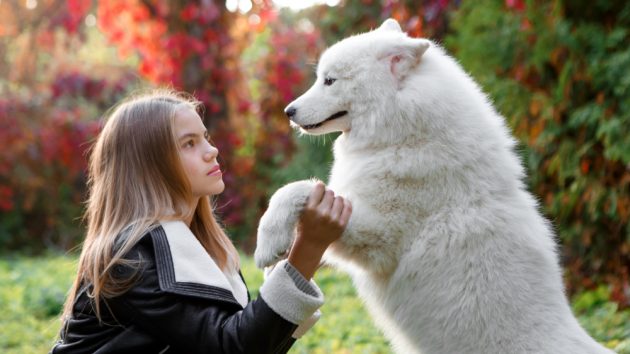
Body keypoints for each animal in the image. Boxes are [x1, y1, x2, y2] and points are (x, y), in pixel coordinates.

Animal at [253, 19, 612, 354]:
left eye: (330, 80)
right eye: (321, 78)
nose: (288, 111)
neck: (405, 136)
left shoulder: (378, 237)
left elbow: (294, 189)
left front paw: (267, 243)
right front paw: (277, 264)